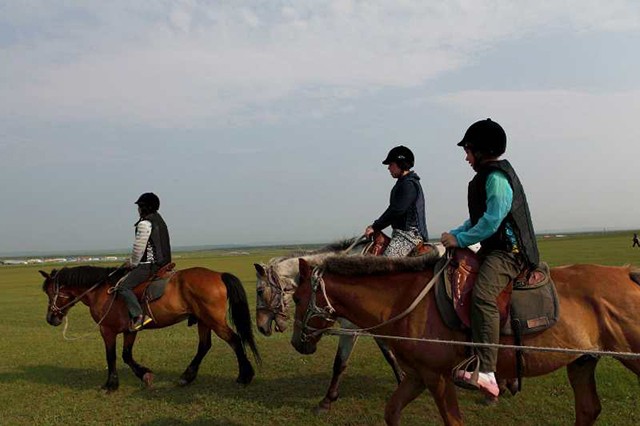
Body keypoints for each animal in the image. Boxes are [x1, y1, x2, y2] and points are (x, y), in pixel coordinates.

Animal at [40, 266, 260, 392]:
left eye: (51, 292)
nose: (51, 318)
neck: (102, 290)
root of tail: (219, 275)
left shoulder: (107, 330)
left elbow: (111, 356)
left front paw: (111, 384)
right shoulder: (130, 330)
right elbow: (126, 355)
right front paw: (145, 374)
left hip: (213, 320)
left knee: (234, 340)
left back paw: (244, 376)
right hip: (204, 320)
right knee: (204, 345)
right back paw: (186, 377)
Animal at [292, 255, 640, 424]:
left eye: (295, 296)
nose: (297, 343)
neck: (405, 299)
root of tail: (627, 274)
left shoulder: (438, 377)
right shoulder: (419, 375)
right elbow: (392, 411)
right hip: (582, 361)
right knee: (588, 410)